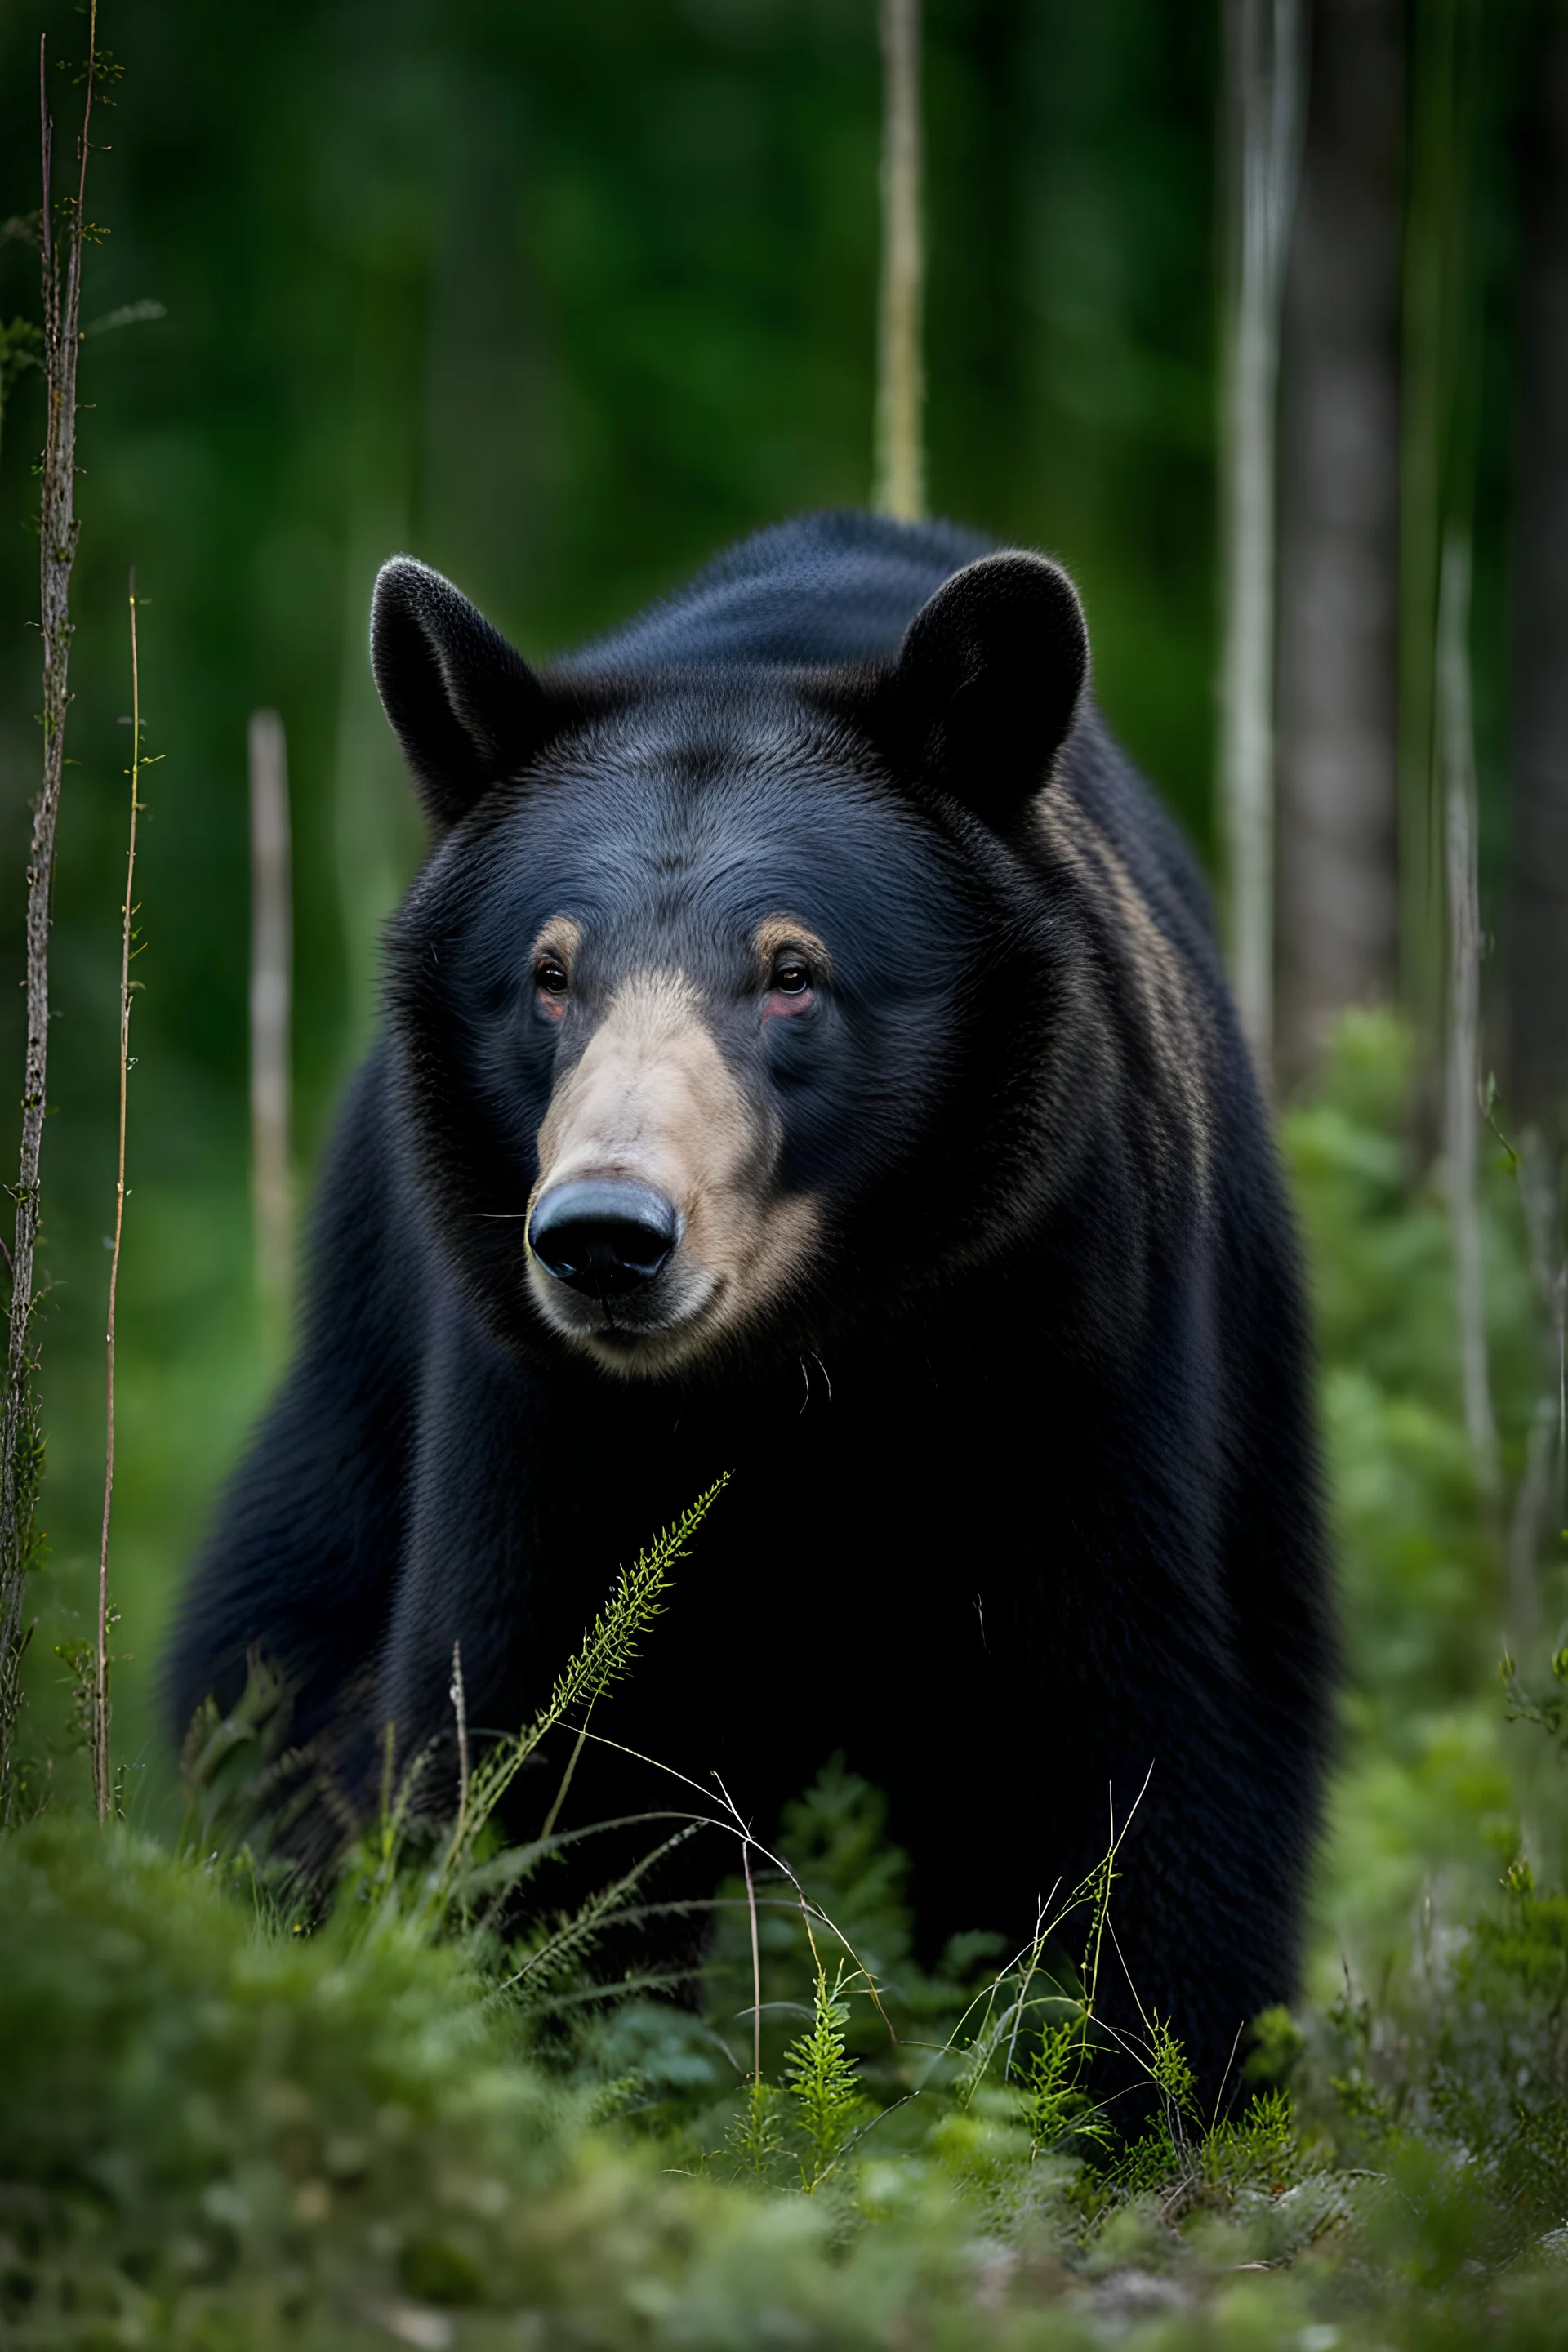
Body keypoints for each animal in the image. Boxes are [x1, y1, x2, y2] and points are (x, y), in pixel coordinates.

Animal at [177, 510, 1344, 2097]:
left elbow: (1157, 1740)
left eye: (793, 969)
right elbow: (542, 1737)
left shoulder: (1081, 1344)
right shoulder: (536, 1411)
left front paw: (1155, 2084)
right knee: (271, 1672)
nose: (605, 1238)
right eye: (549, 974)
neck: (803, 1370)